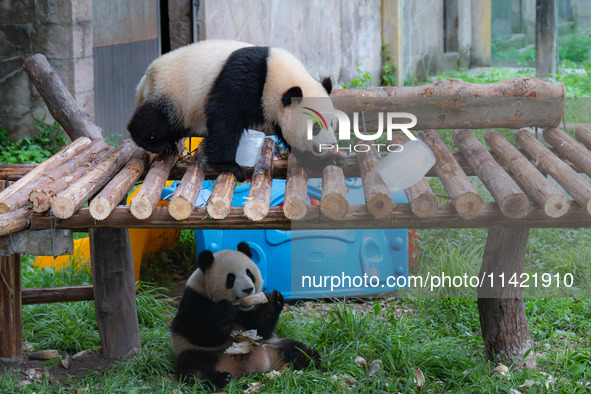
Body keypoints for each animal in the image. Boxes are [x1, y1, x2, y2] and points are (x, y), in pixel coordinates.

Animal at [127, 40, 344, 182]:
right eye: (315, 127)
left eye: (333, 123)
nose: (330, 144)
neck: (275, 74)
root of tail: (145, 79)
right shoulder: (244, 78)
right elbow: (224, 118)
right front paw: (229, 165)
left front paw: (327, 159)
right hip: (173, 90)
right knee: (157, 117)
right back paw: (154, 142)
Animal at [169, 242, 322, 386]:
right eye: (231, 278)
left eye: (249, 273)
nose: (248, 289)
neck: (240, 308)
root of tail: (245, 368)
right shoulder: (193, 298)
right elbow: (196, 331)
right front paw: (224, 311)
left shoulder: (251, 311)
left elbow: (261, 328)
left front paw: (274, 300)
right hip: (201, 353)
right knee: (193, 366)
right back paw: (220, 379)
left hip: (272, 344)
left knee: (293, 345)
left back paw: (307, 357)